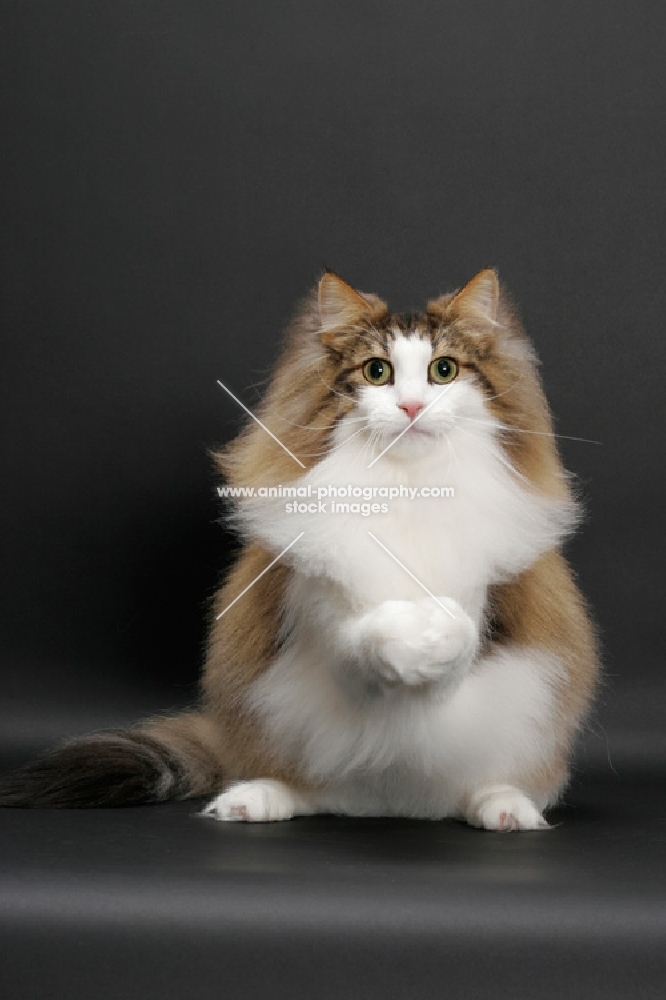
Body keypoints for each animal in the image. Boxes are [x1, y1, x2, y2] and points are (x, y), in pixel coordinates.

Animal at [0, 272, 600, 828]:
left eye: (444, 371)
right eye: (377, 372)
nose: (410, 406)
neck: (406, 487)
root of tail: (389, 806)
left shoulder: (487, 610)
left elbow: (457, 640)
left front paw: (434, 632)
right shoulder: (320, 613)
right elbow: (364, 638)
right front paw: (406, 636)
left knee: (479, 788)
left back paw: (505, 808)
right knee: (306, 789)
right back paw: (253, 800)